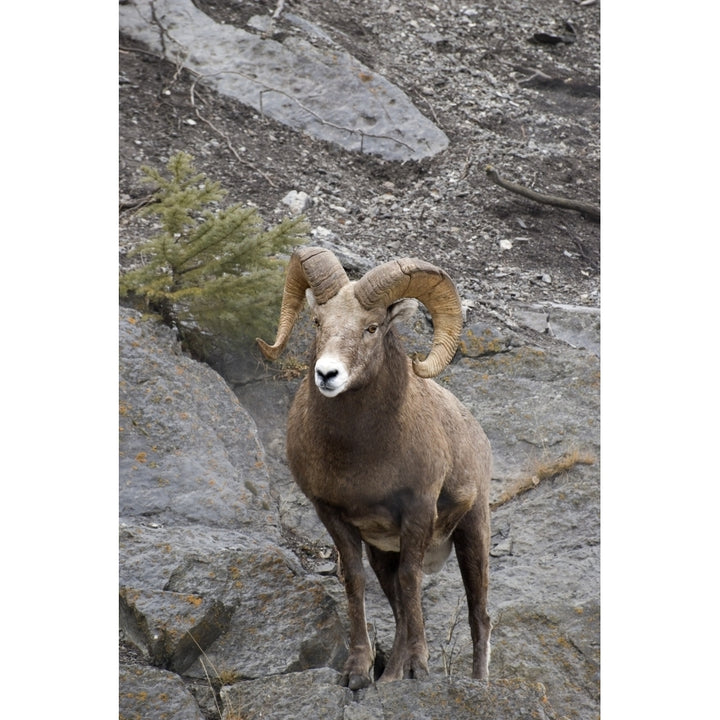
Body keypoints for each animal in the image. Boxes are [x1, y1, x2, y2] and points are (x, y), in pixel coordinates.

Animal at [256, 249, 492, 692]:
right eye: (318, 322)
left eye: (371, 327)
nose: (327, 374)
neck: (362, 456)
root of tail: (477, 431)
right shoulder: (333, 516)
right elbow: (356, 582)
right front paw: (358, 673)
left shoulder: (417, 512)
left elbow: (412, 583)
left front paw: (419, 669)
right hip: (384, 552)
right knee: (398, 605)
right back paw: (391, 676)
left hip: (473, 529)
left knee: (478, 615)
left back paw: (476, 682)